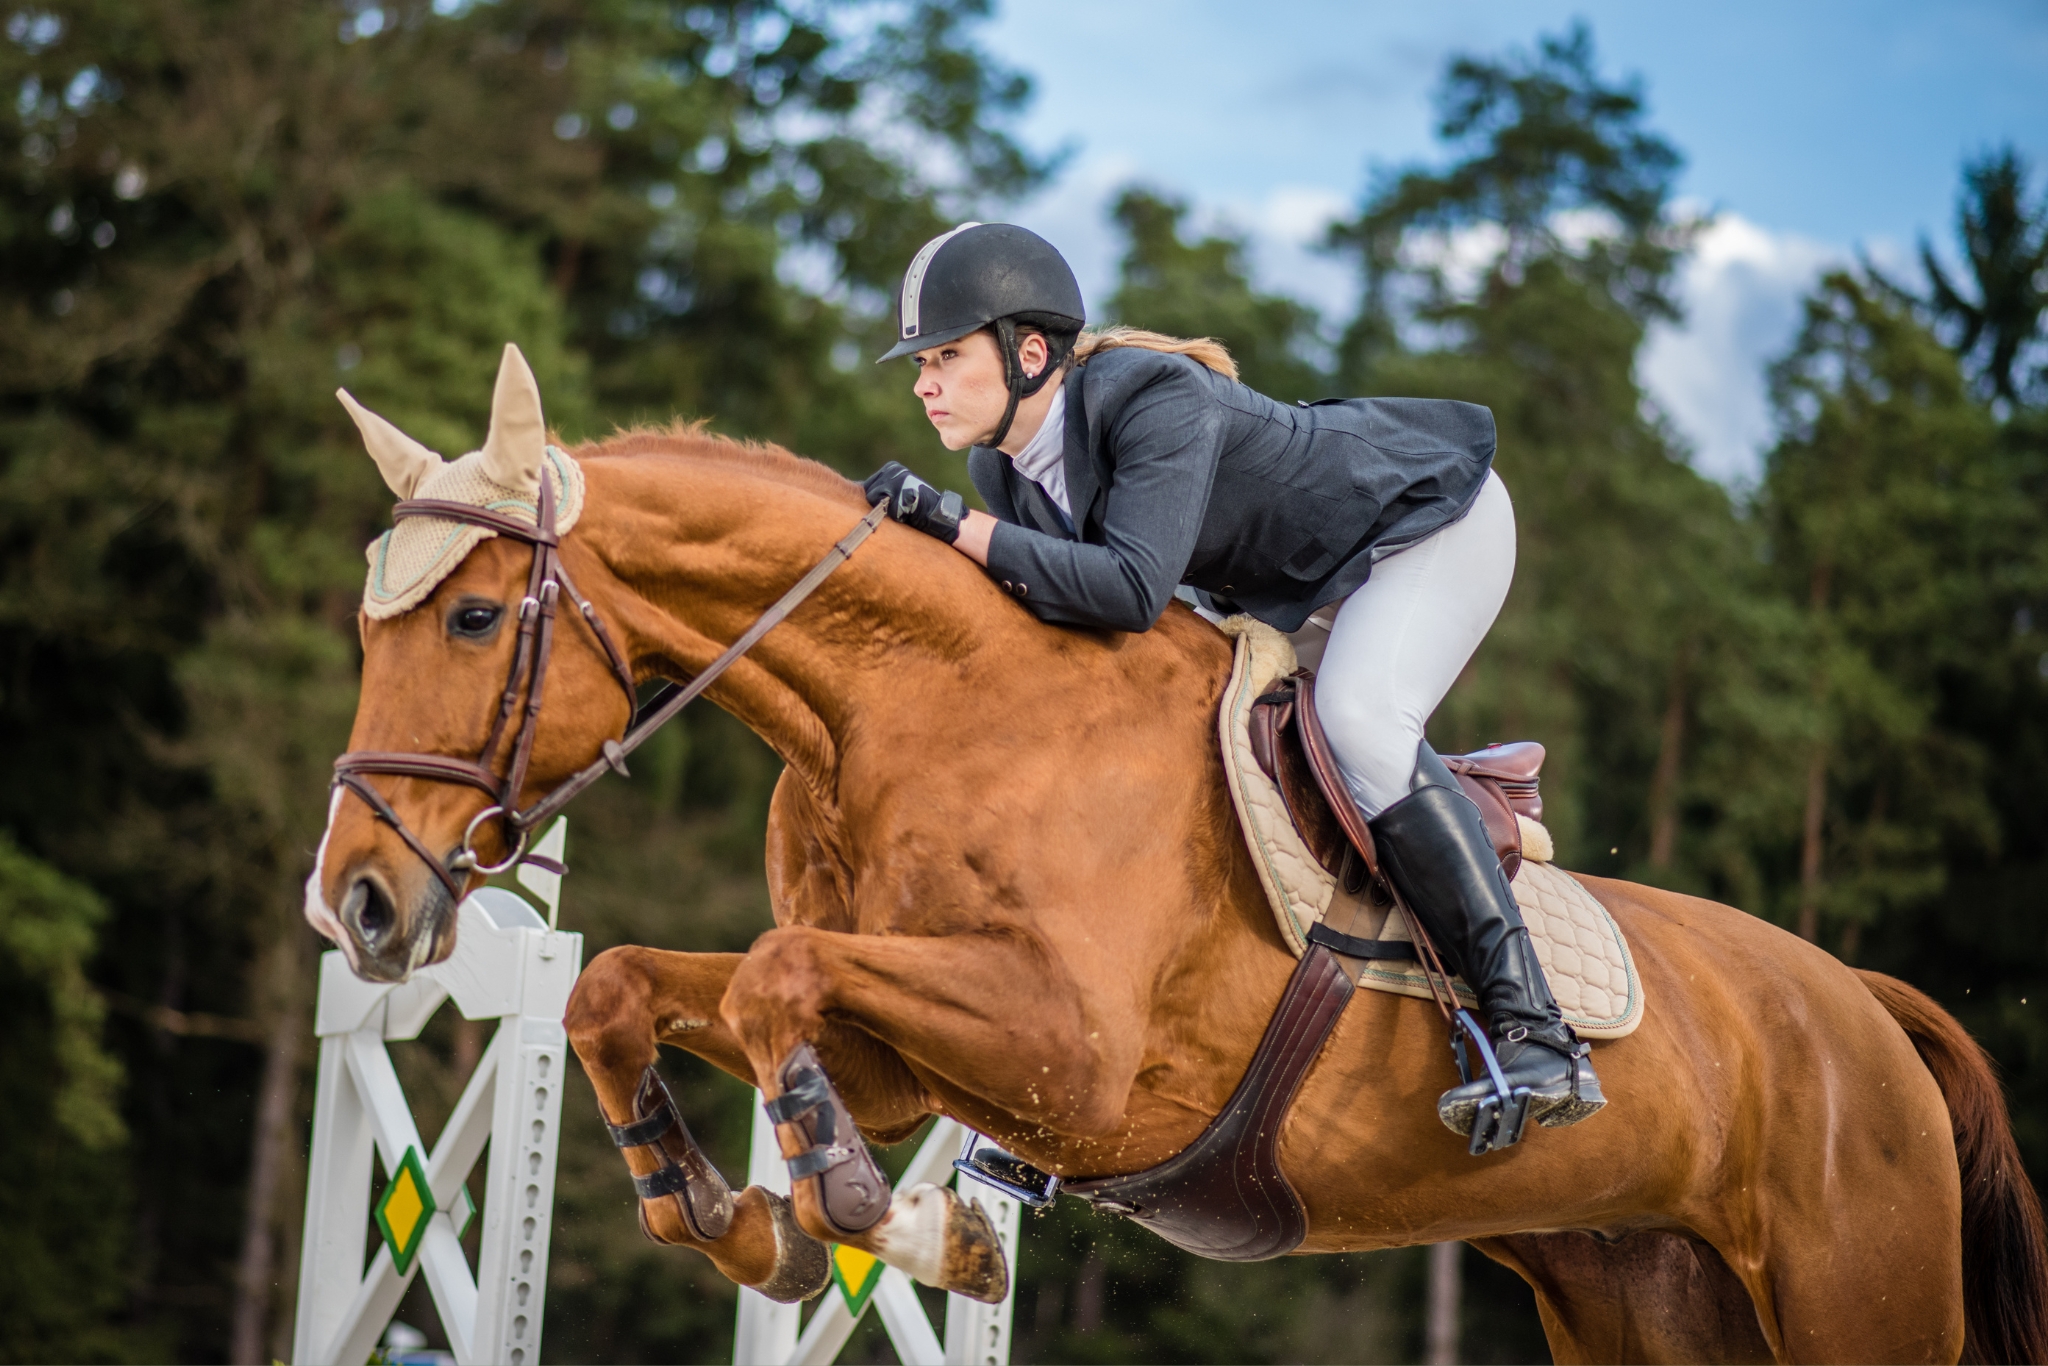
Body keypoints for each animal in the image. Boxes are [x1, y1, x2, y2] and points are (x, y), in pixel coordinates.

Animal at [306, 349, 2048, 1363]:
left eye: (475, 616)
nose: (360, 904)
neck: (907, 705)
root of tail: (1868, 1006)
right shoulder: (911, 1051)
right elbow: (632, 985)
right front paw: (735, 1211)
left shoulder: (1065, 1053)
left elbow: (775, 982)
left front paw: (882, 1217)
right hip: (1649, 1301)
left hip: (1855, 1295)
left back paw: (1535, 1058)